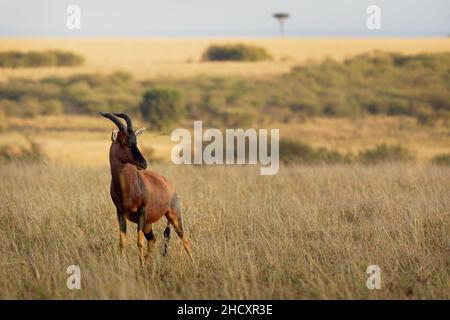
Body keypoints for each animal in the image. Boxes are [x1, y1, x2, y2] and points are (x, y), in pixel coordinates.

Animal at [100, 112, 193, 264]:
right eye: (124, 140)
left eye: (135, 140)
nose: (143, 163)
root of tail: (170, 186)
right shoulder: (120, 212)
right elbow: (122, 242)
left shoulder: (141, 211)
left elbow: (139, 242)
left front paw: (141, 265)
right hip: (148, 223)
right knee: (153, 240)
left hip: (173, 216)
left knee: (184, 238)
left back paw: (192, 262)